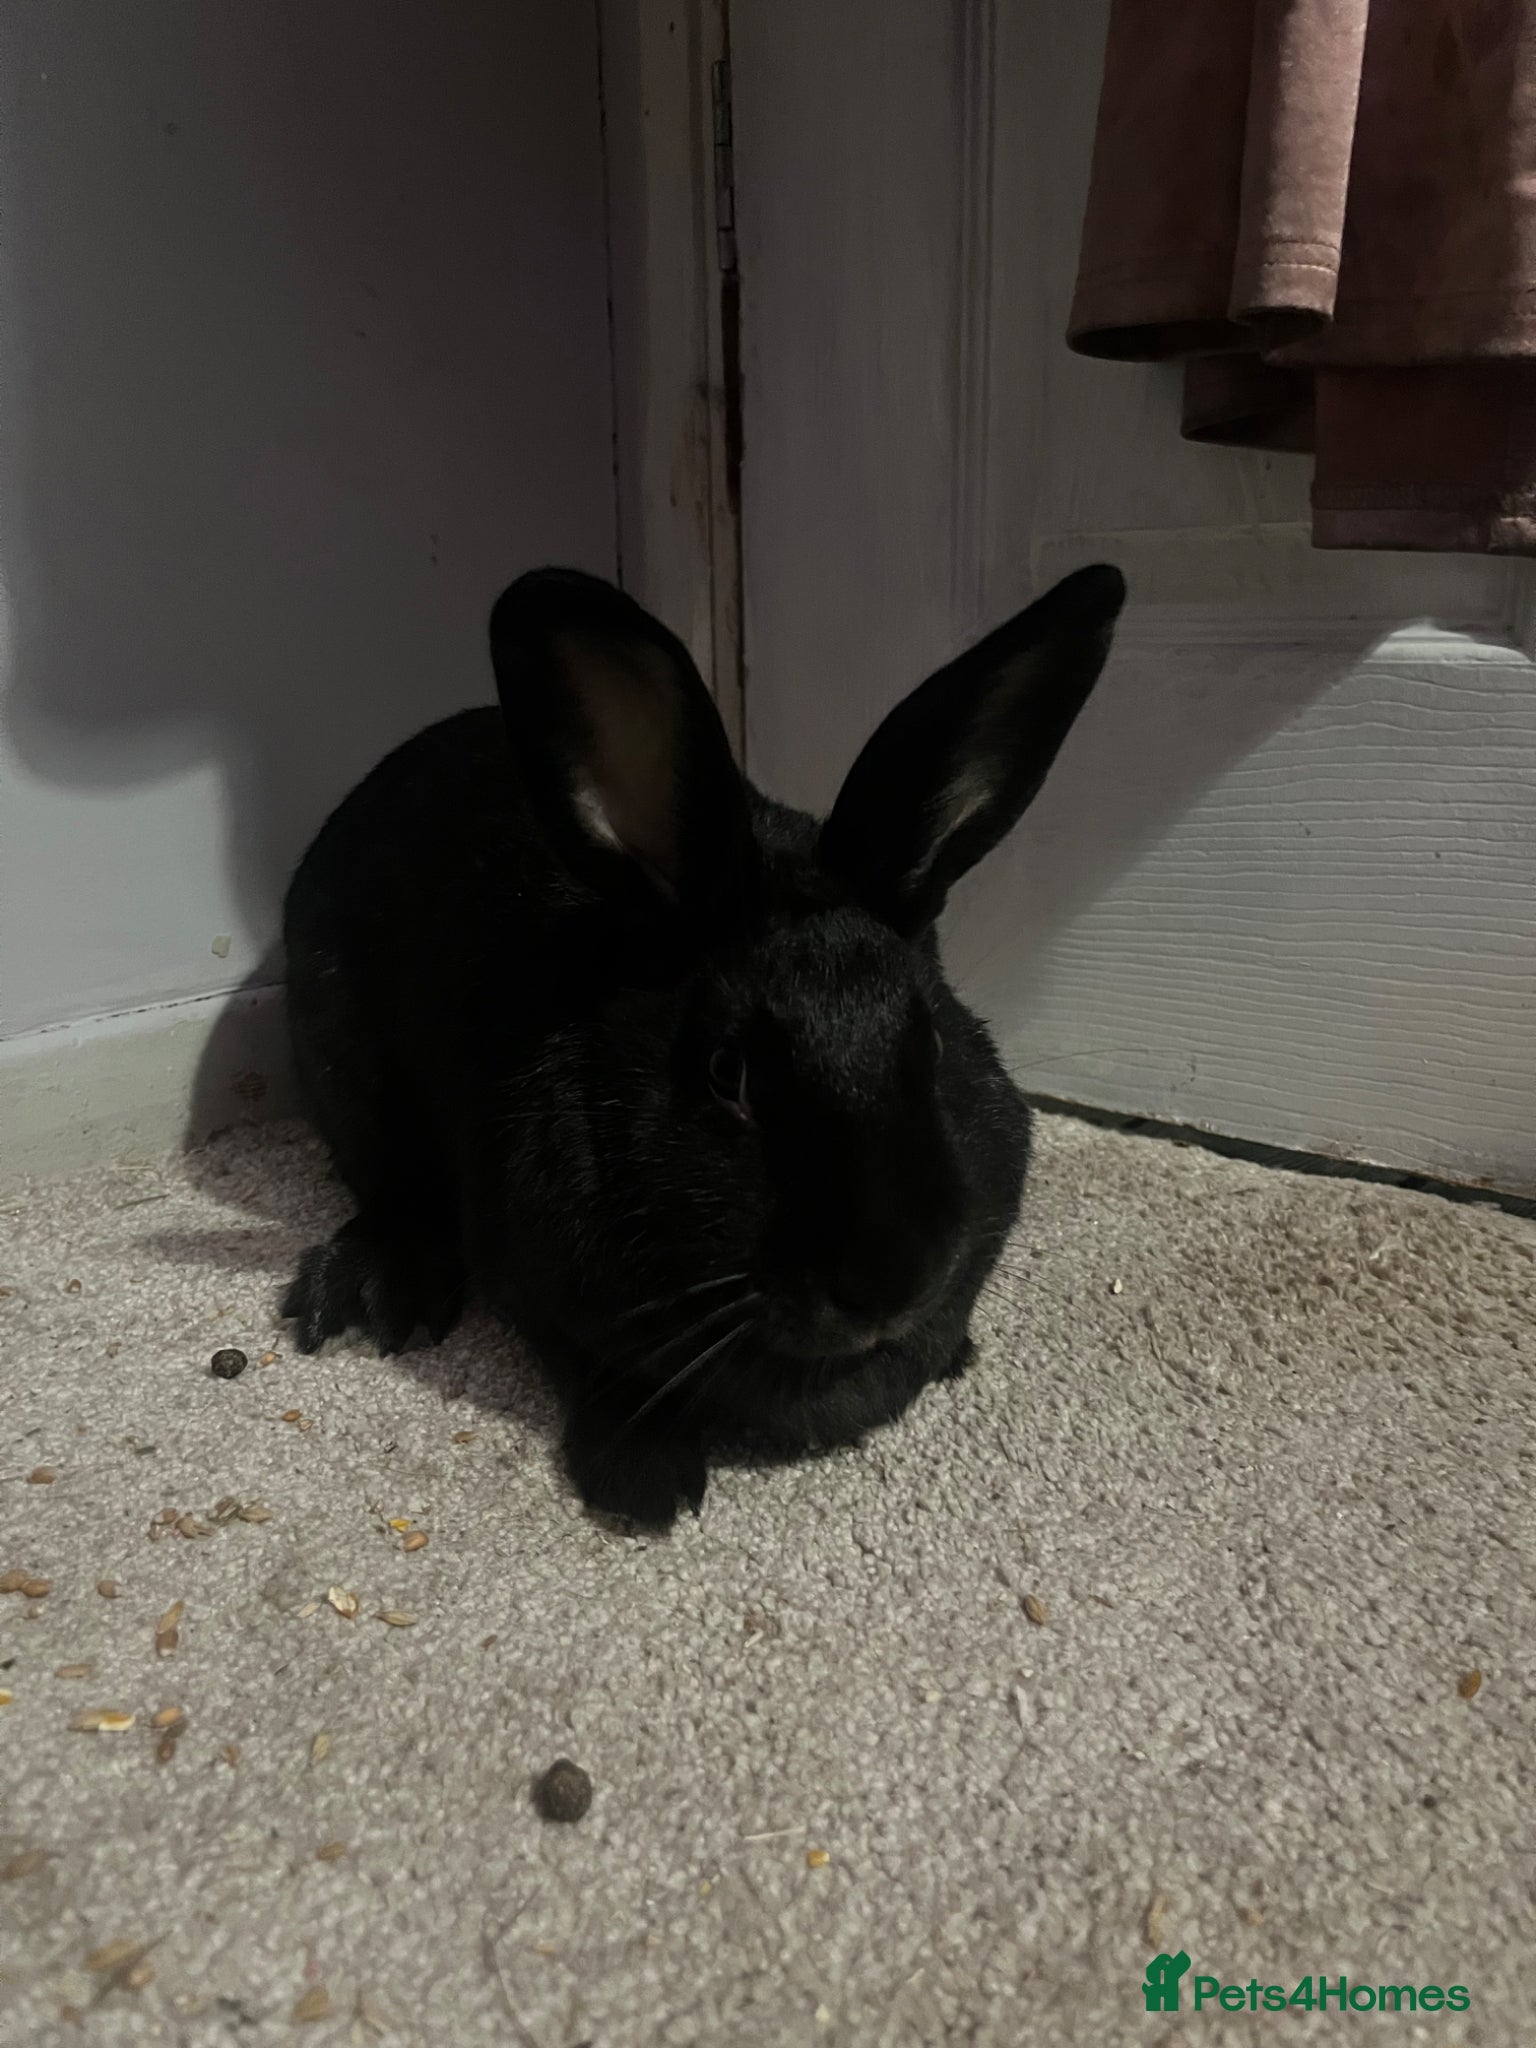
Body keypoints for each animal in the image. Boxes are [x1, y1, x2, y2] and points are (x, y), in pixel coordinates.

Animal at [281, 561, 1126, 1527]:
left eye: (937, 1046)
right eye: (730, 1076)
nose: (889, 1282)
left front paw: (954, 1350)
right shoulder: (539, 1287)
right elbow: (602, 1373)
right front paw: (648, 1481)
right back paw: (376, 1288)